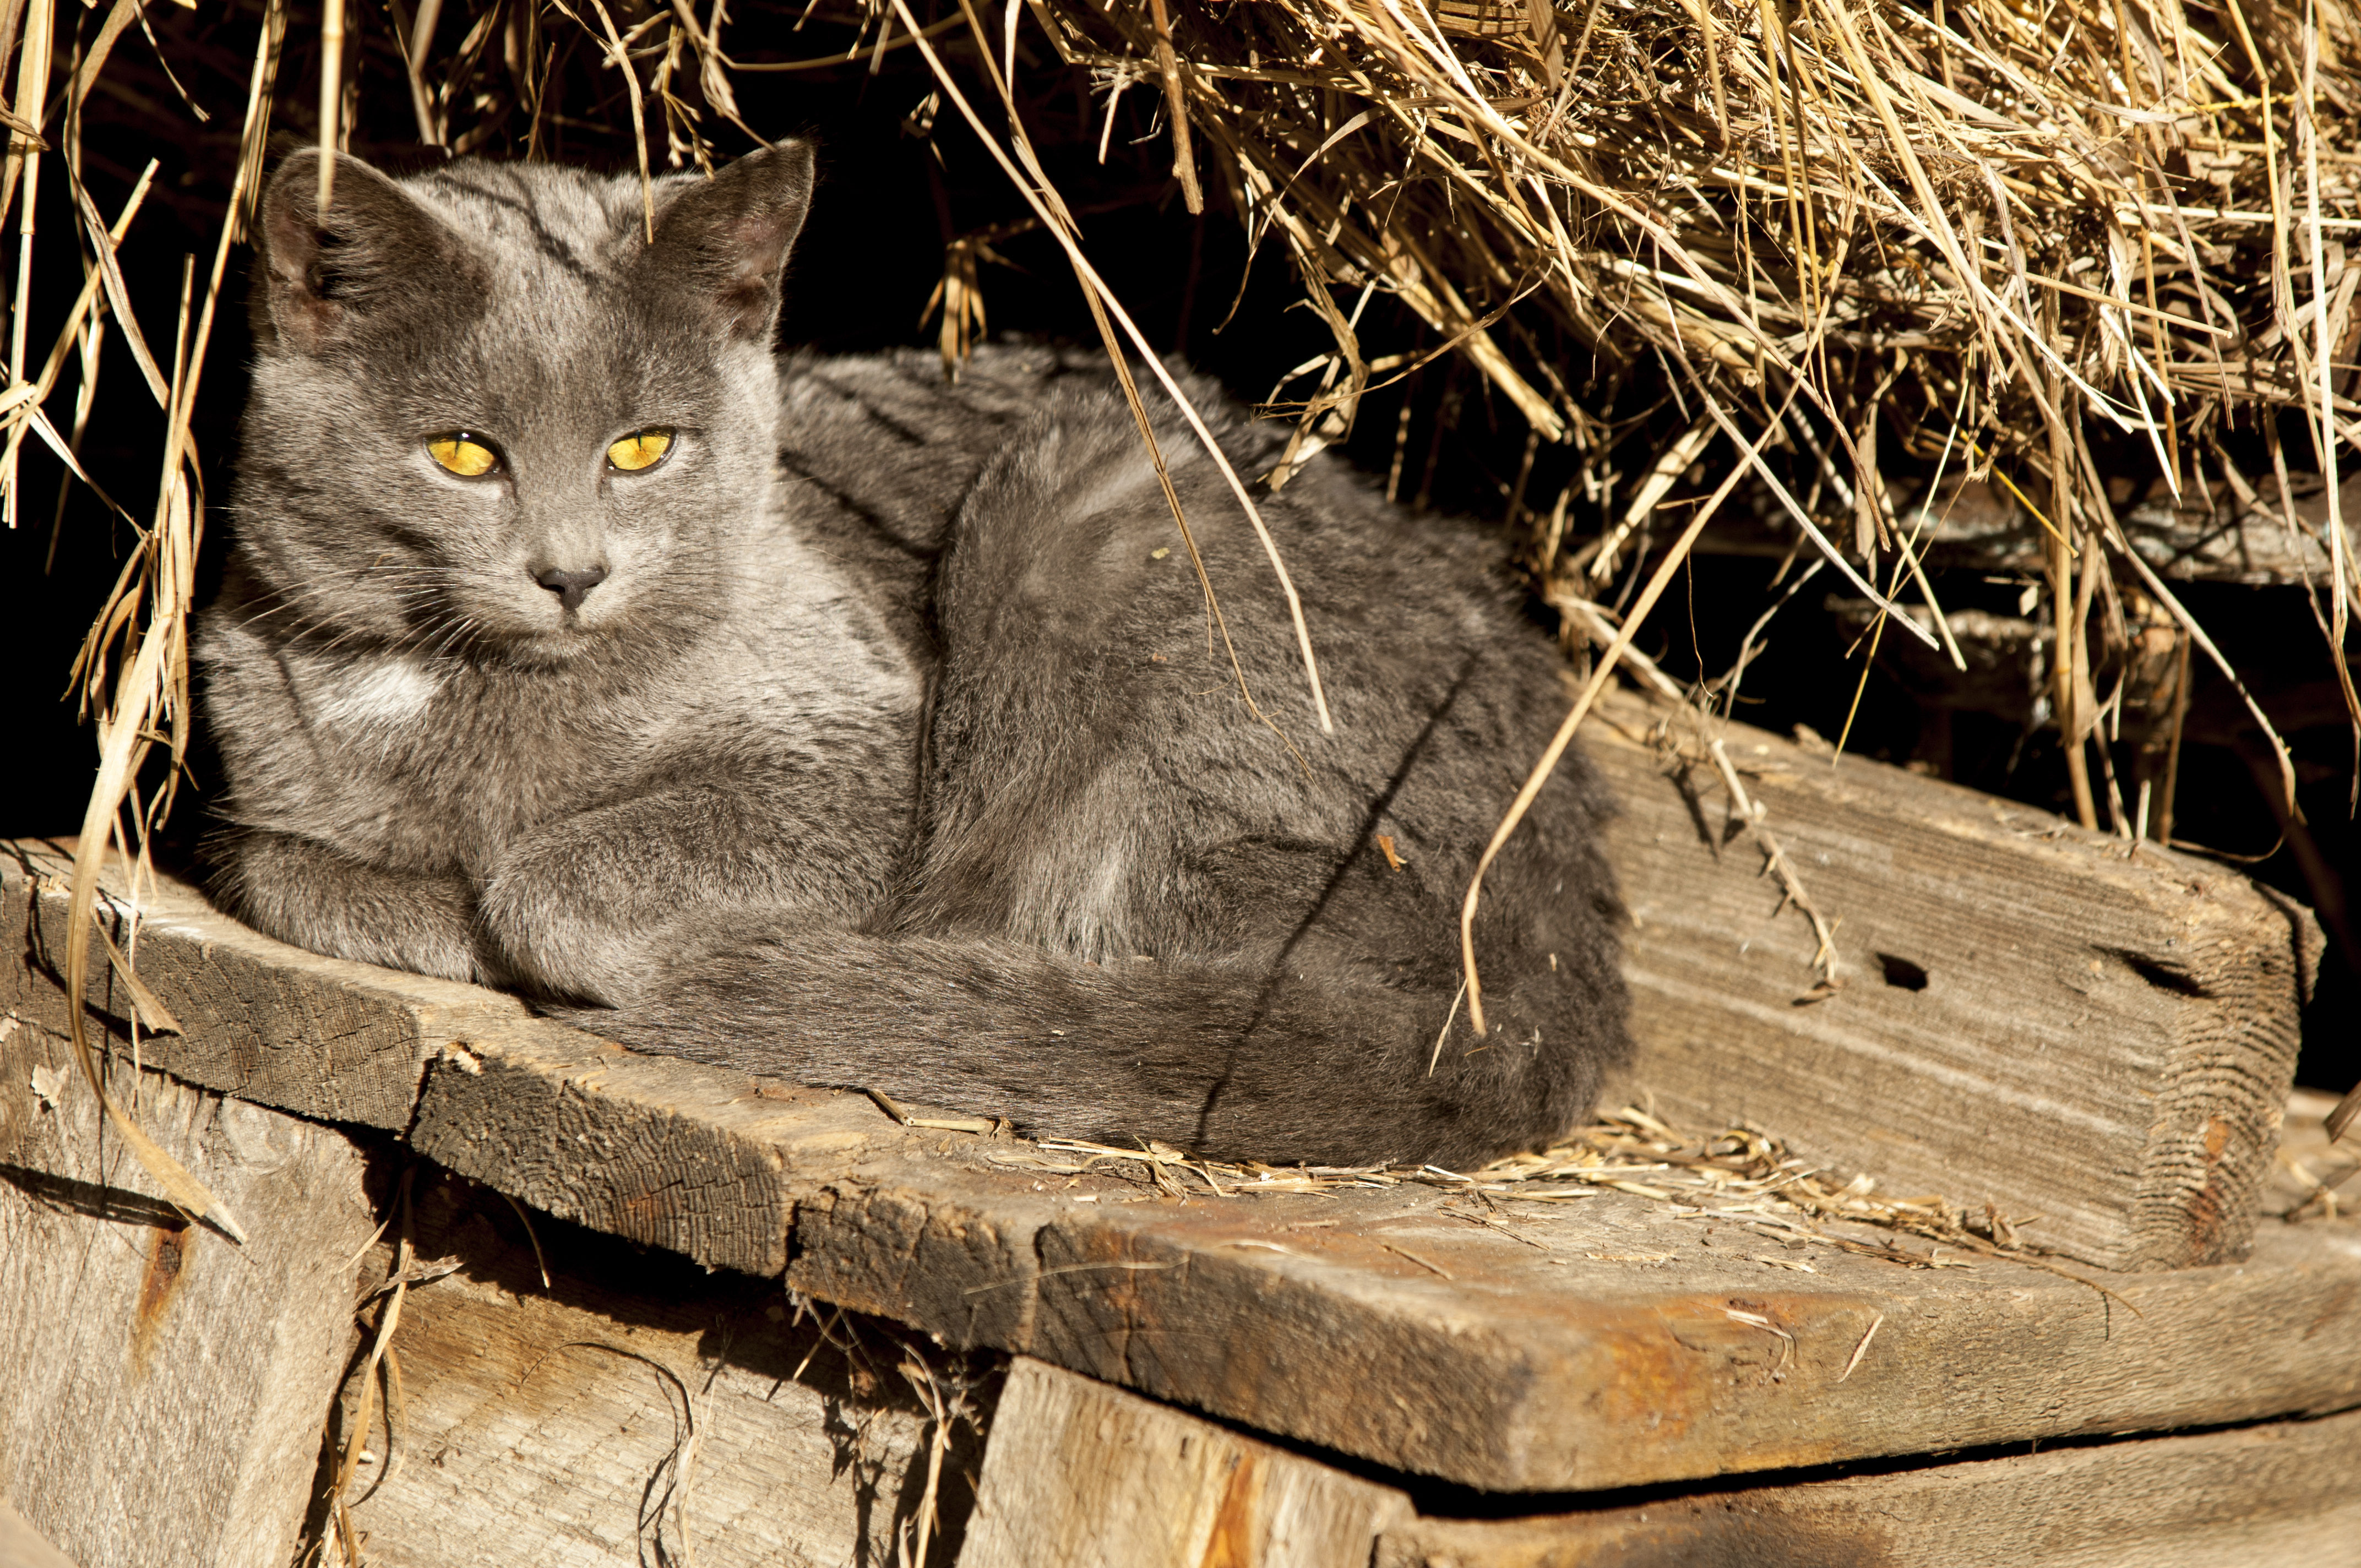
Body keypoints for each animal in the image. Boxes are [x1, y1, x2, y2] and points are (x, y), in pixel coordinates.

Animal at [198, 144, 1624, 1162]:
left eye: (642, 448)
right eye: (462, 453)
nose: (569, 572)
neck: (483, 704)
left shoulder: (858, 756)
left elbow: (545, 873)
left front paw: (572, 937)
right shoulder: (263, 742)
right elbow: (281, 868)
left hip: (1105, 537)